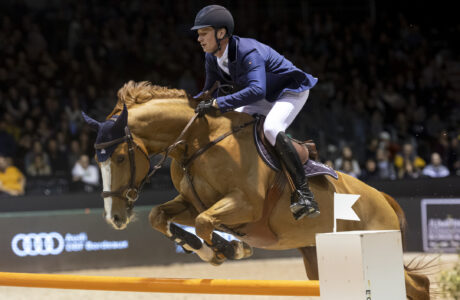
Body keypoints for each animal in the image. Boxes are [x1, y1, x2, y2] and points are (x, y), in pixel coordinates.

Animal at [82, 81, 432, 298]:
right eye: (97, 160)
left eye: (119, 157)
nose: (114, 218)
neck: (197, 142)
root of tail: (383, 197)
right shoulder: (193, 202)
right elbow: (161, 216)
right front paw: (205, 248)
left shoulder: (245, 205)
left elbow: (205, 223)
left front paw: (231, 249)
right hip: (317, 260)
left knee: (419, 284)